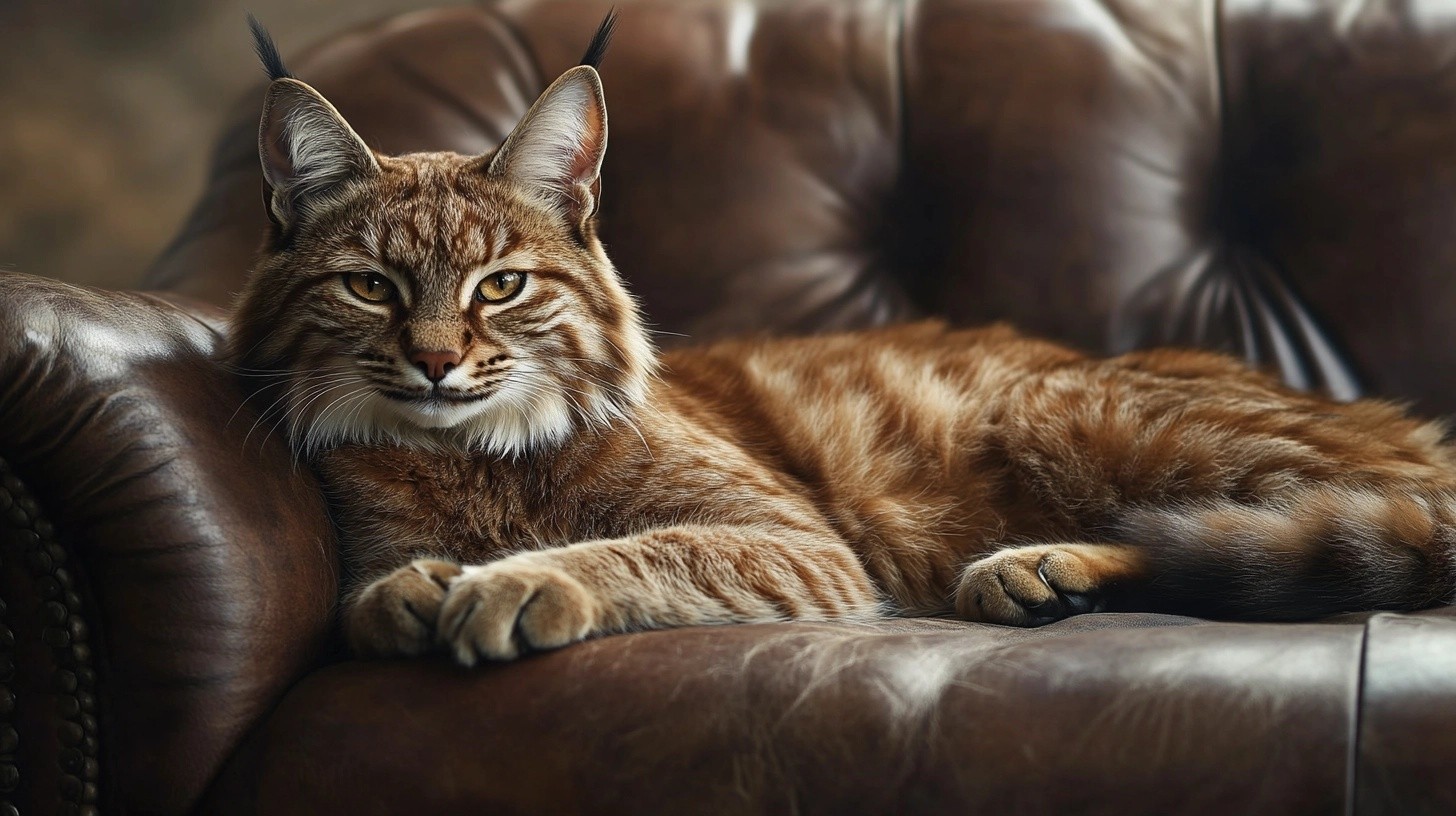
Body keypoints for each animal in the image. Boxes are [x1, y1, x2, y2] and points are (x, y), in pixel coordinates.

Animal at [227, 15, 1456, 667]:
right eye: (372, 287)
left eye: (503, 286)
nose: (437, 362)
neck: (471, 454)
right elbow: (365, 597)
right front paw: (418, 592)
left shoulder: (802, 541)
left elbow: (647, 546)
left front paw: (518, 579)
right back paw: (1046, 576)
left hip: (1067, 405)